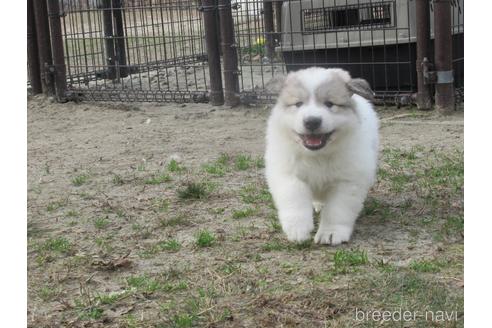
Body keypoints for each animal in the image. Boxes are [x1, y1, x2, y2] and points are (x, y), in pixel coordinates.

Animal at [266, 67, 376, 243]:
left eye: (329, 104)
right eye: (298, 104)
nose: (312, 121)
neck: (317, 155)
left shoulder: (348, 181)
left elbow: (337, 209)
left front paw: (331, 233)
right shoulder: (287, 173)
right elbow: (294, 196)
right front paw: (298, 229)